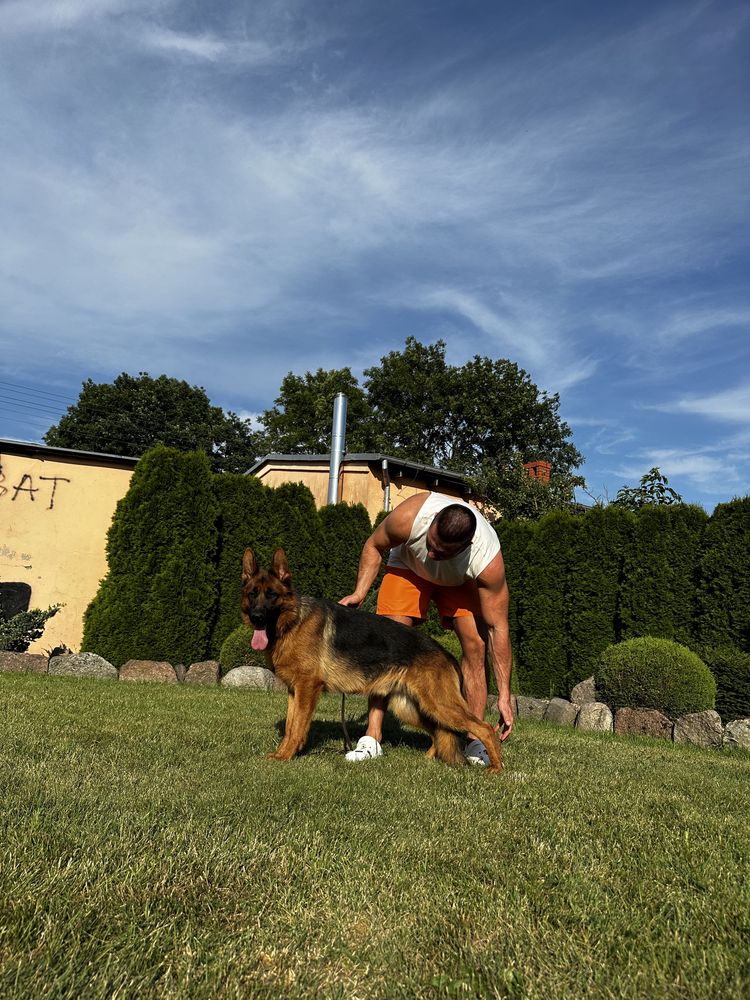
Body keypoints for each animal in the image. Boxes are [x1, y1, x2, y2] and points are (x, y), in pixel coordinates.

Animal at [241, 548, 506, 772]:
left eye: (272, 595)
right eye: (252, 594)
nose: (257, 617)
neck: (293, 621)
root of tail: (446, 653)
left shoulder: (307, 689)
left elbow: (296, 727)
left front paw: (286, 756)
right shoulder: (294, 691)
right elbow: (289, 726)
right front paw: (282, 753)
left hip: (440, 705)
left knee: (483, 728)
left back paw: (496, 768)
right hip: (411, 708)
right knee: (440, 733)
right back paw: (428, 760)